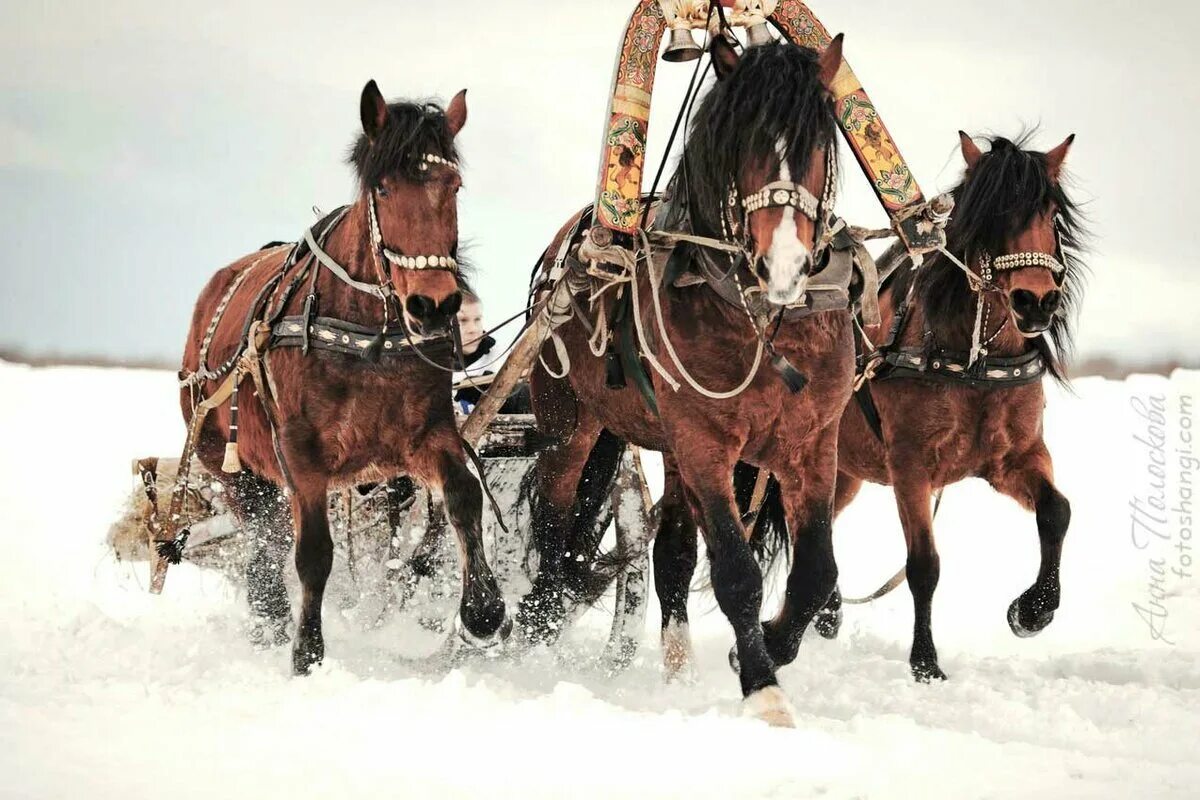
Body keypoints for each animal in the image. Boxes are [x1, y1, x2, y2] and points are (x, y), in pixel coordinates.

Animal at [177, 81, 506, 671]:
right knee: (262, 538)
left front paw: (484, 610)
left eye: (453, 185)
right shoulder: (299, 452)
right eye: (384, 186)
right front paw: (307, 653)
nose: (433, 305)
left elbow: (464, 496)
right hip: (228, 461)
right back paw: (270, 619)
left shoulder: (425, 436)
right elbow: (313, 552)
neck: (365, 337)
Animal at [520, 37, 859, 724]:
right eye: (743, 141)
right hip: (569, 423)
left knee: (671, 547)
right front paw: (764, 688)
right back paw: (539, 627)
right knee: (555, 522)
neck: (759, 318)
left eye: (816, 142)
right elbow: (736, 571)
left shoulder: (813, 443)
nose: (785, 261)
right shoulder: (705, 440)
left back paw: (677, 667)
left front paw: (767, 649)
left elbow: (815, 572)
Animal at [729, 131, 1089, 681]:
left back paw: (820, 614)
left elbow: (1057, 511)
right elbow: (924, 565)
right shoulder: (911, 466)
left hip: (843, 473)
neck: (971, 361)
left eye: (1049, 213)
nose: (1036, 301)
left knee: (816, 524)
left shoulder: (1015, 457)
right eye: (991, 215)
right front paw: (926, 664)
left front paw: (1033, 610)